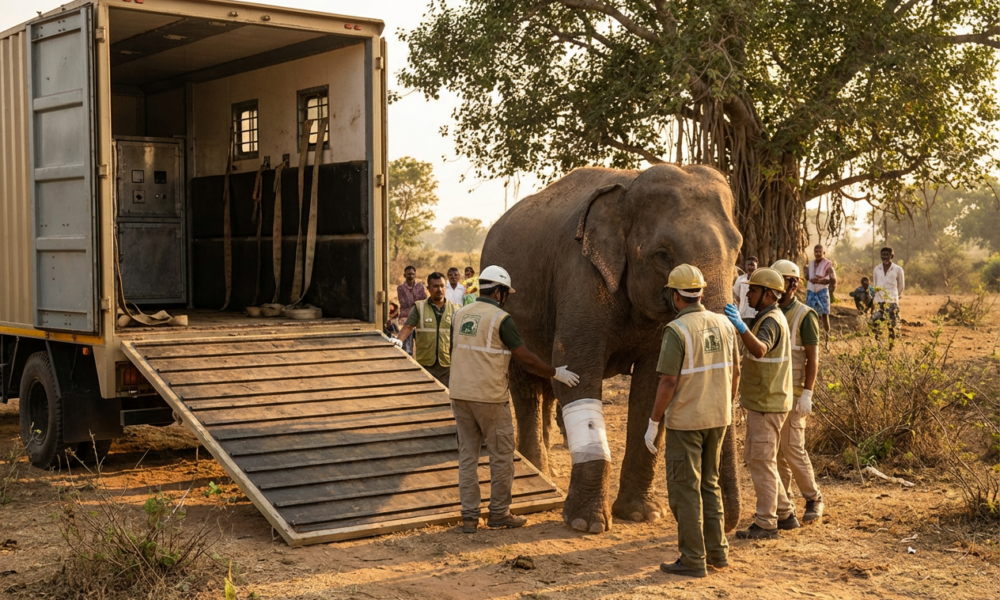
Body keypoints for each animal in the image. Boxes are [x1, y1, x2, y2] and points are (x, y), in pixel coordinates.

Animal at [480, 164, 743, 533]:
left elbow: (655, 385)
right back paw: (539, 471)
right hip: (508, 309)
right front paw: (586, 523)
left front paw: (643, 514)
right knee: (526, 386)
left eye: (738, 249)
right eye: (663, 255)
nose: (729, 525)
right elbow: (576, 371)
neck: (629, 187)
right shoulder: (579, 274)